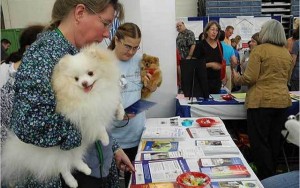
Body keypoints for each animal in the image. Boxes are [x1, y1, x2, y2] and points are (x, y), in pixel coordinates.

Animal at [1, 43, 124, 188]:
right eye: (76, 79)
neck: (93, 94)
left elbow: (116, 103)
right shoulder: (84, 115)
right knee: (63, 167)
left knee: (75, 159)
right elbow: (98, 125)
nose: (84, 83)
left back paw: (85, 169)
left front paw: (120, 114)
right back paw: (72, 182)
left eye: (90, 73)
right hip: (62, 150)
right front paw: (105, 139)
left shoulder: (107, 98)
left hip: (77, 147)